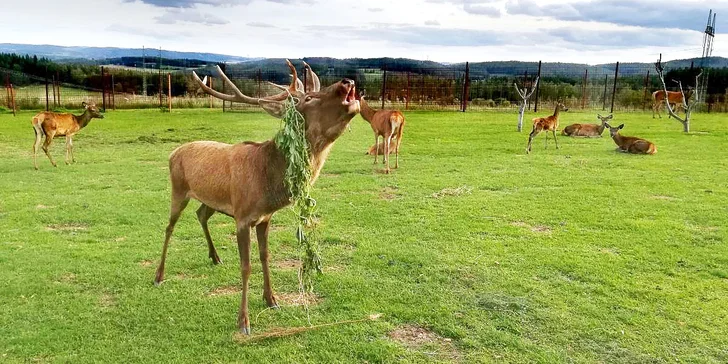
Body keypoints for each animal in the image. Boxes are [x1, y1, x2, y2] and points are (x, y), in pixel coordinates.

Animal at [154, 60, 362, 336]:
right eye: (308, 98)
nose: (347, 82)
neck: (266, 186)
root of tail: (172, 152)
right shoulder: (242, 217)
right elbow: (246, 266)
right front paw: (244, 321)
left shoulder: (264, 218)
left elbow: (265, 257)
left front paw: (272, 299)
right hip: (178, 189)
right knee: (169, 227)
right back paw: (159, 275)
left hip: (210, 200)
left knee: (201, 214)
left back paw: (215, 257)